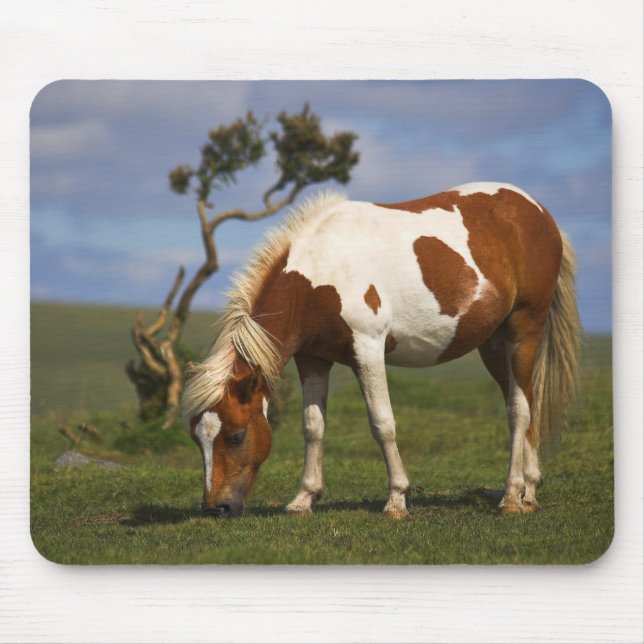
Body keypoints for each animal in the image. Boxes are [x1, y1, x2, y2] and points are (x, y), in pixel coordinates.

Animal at [182, 183, 580, 519]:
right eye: (196, 438)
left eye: (236, 436)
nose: (215, 508)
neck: (321, 271)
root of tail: (538, 212)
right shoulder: (312, 358)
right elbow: (313, 426)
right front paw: (304, 498)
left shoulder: (368, 349)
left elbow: (382, 423)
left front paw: (397, 500)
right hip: (494, 344)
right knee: (523, 399)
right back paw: (530, 491)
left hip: (524, 330)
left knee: (519, 411)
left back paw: (512, 497)